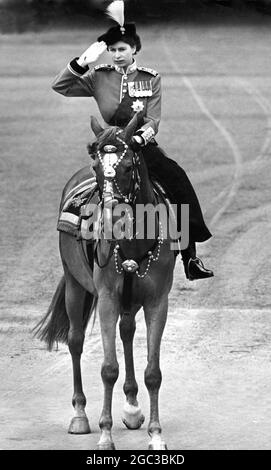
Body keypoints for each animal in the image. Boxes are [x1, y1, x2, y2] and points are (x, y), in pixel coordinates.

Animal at [34, 114, 177, 452]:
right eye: (98, 167)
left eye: (126, 167)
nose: (111, 218)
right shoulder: (108, 300)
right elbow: (108, 368)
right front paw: (105, 434)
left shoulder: (157, 302)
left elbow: (153, 372)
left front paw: (155, 434)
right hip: (75, 286)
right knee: (75, 341)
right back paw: (80, 415)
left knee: (127, 332)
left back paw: (132, 407)